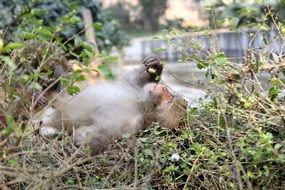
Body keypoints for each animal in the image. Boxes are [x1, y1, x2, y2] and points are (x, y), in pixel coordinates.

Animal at [40, 53, 186, 154]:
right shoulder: (133, 89)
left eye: (168, 101)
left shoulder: (130, 125)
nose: (164, 88)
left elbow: (94, 136)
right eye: (169, 96)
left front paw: (80, 147)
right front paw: (155, 64)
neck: (138, 105)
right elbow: (134, 79)